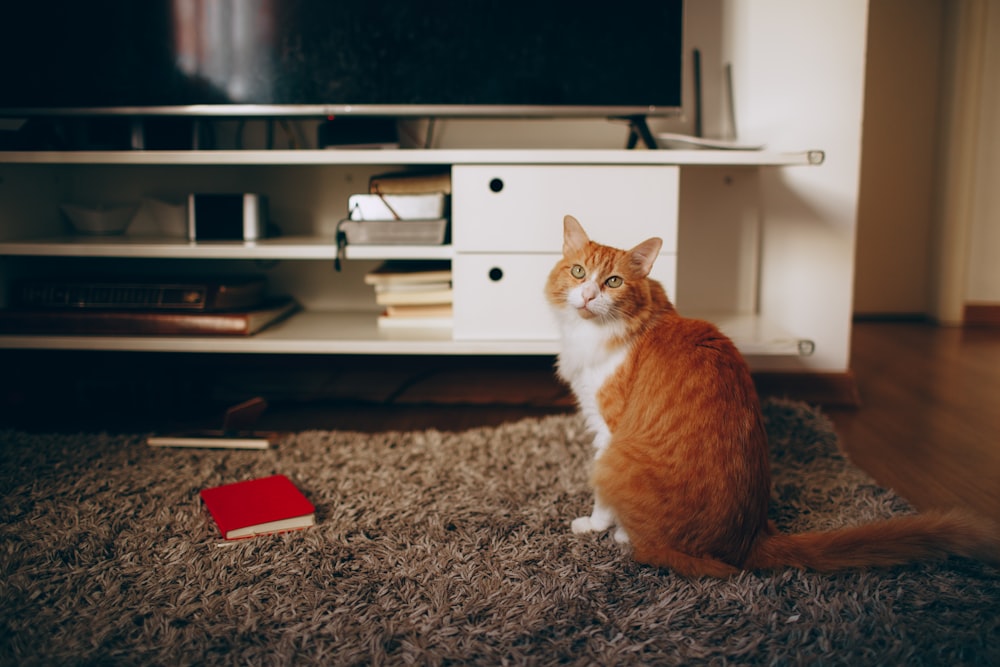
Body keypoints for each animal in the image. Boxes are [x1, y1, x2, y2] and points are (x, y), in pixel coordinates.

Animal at [548, 217, 1000, 576]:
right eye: (578, 272)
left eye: (613, 282)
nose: (588, 295)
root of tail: (750, 540)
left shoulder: (607, 429)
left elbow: (601, 501)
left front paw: (594, 525)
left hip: (618, 460)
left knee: (656, 548)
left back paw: (625, 537)